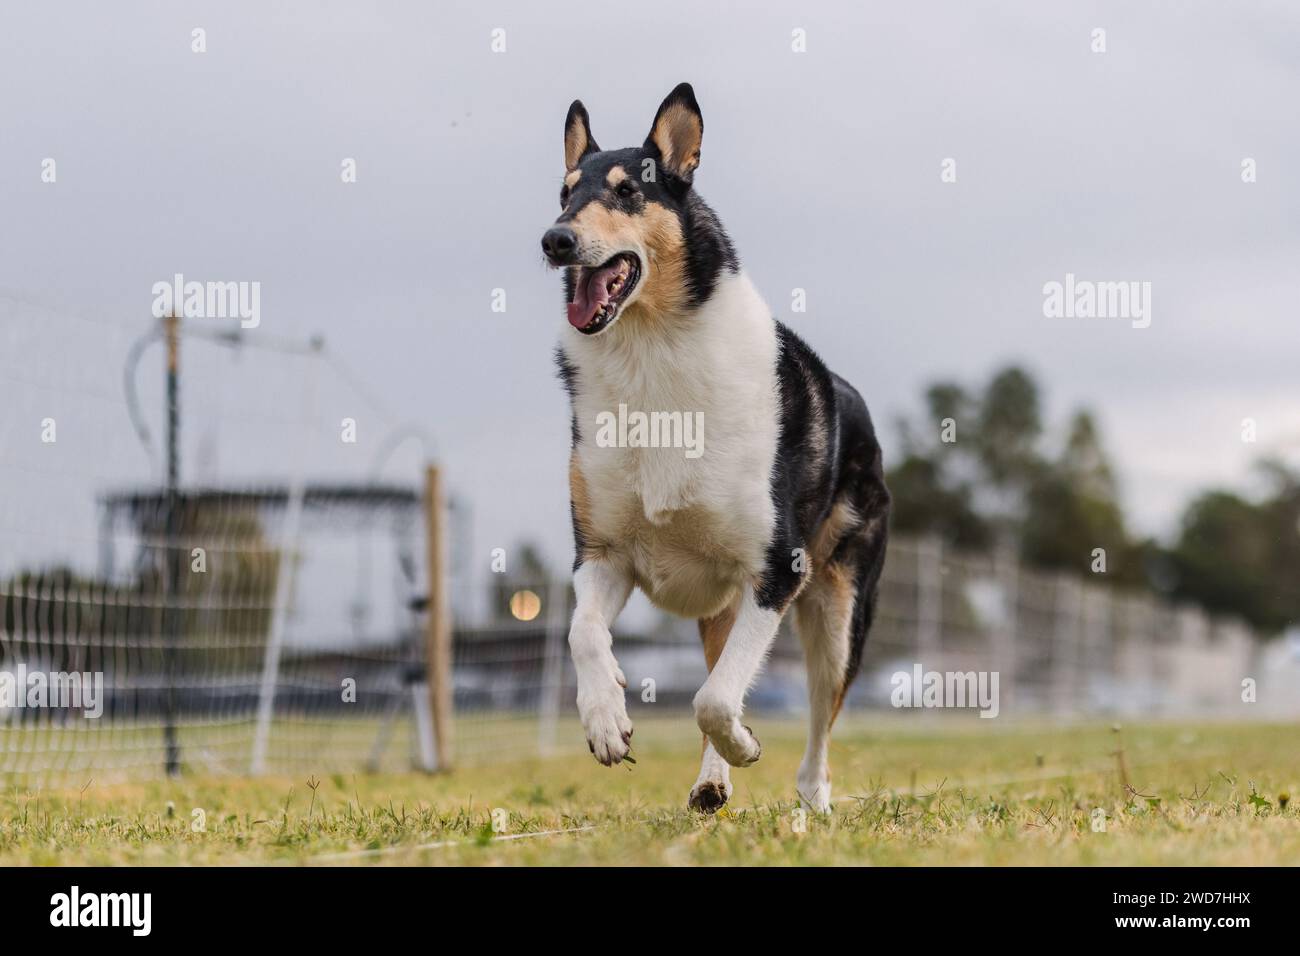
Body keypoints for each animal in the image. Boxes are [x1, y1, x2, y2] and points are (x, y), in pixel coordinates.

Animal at [540, 83, 894, 816]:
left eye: (626, 192)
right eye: (562, 192)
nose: (555, 239)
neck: (649, 351)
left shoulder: (778, 569)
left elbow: (712, 700)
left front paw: (745, 744)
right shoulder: (603, 554)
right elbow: (584, 632)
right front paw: (606, 718)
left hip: (840, 612)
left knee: (820, 716)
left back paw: (812, 799)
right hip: (722, 605)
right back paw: (710, 782)